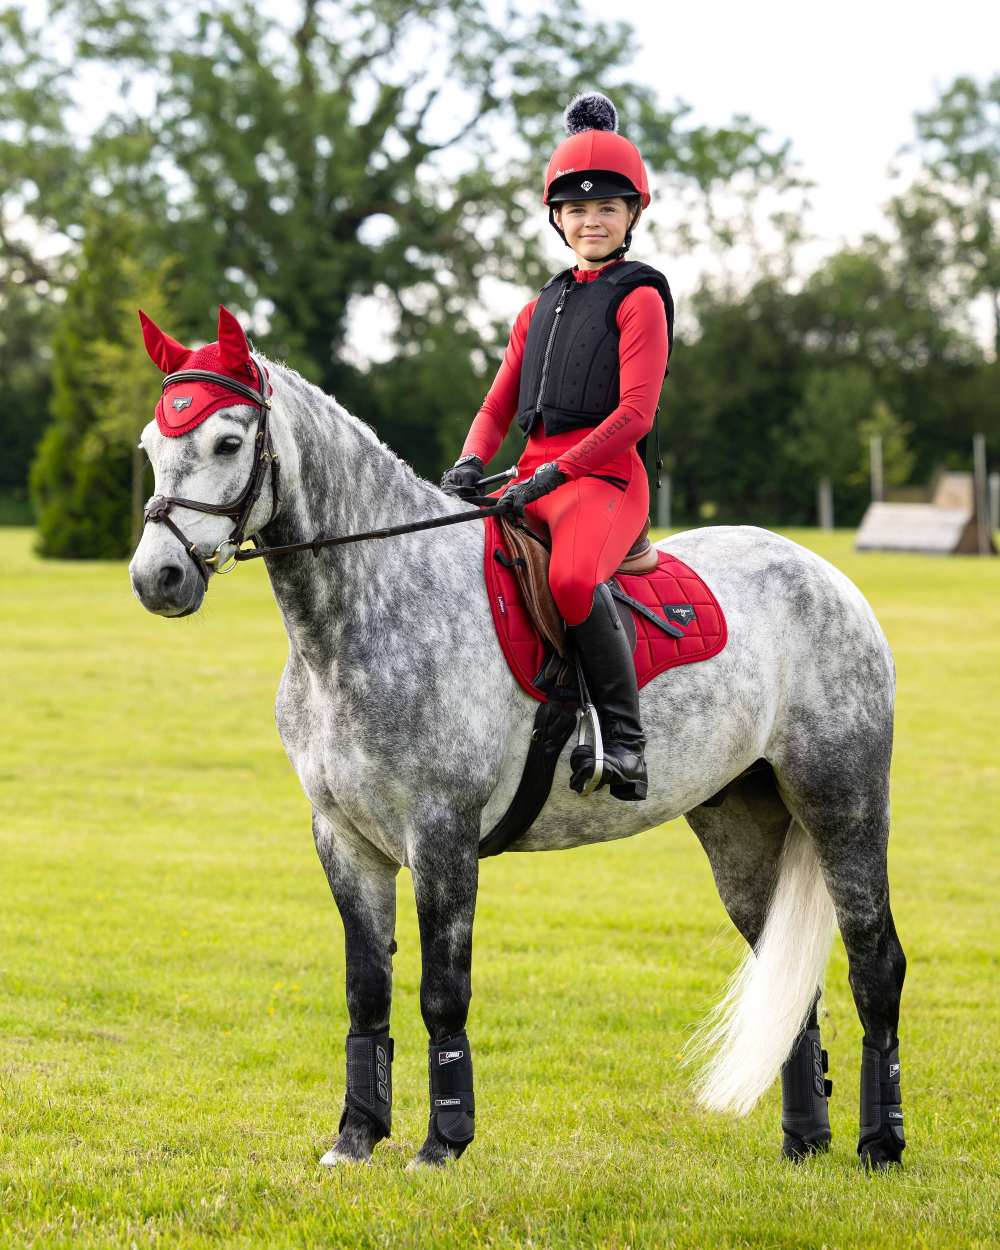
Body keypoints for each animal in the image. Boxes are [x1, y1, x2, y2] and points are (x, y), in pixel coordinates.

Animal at [126, 337, 905, 1165]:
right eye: (149, 447)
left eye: (227, 443)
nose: (157, 578)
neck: (369, 609)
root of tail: (827, 576)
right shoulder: (344, 840)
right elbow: (366, 992)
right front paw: (356, 1137)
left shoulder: (441, 835)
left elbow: (443, 993)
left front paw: (443, 1143)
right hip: (741, 826)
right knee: (789, 976)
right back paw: (804, 1145)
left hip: (844, 803)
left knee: (876, 961)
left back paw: (880, 1144)